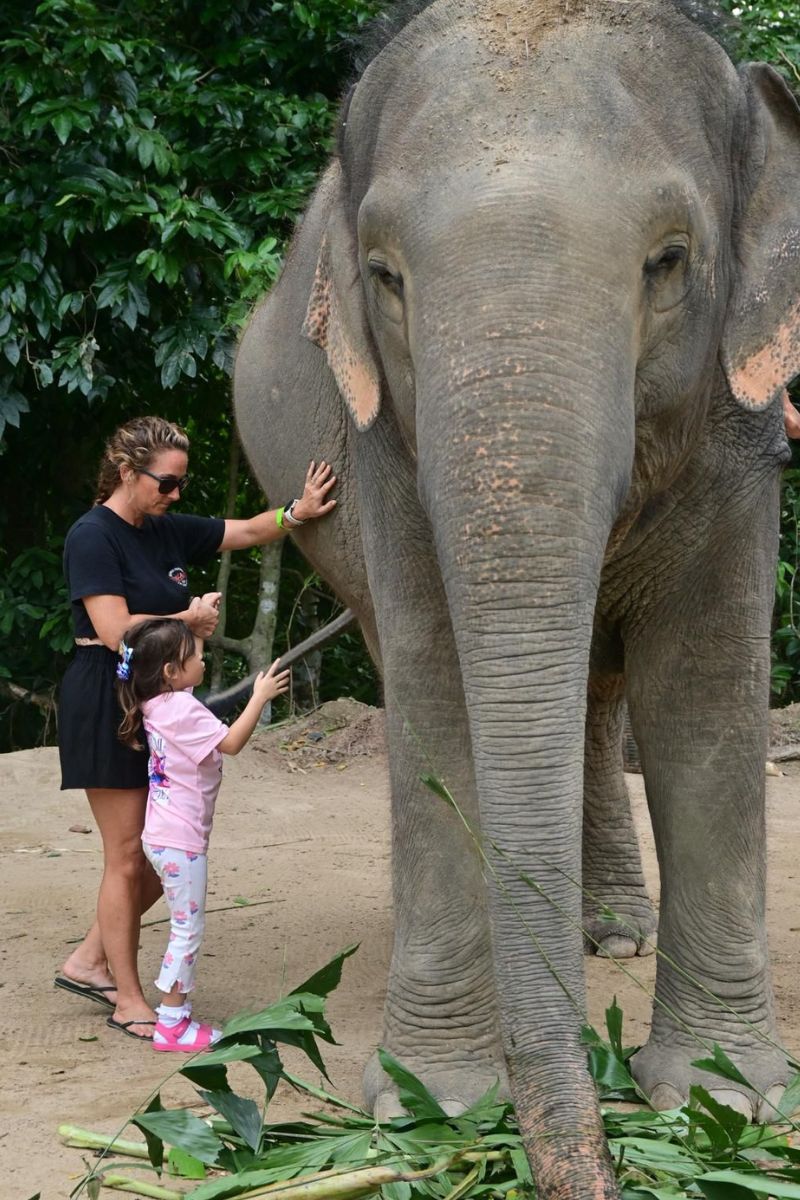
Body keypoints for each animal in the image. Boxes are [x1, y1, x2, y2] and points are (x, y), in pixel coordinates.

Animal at [233, 2, 800, 1197]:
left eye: (669, 261)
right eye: (382, 274)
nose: (592, 1155)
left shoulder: (743, 429)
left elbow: (702, 703)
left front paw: (726, 1099)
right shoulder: (382, 450)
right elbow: (438, 697)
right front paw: (432, 1102)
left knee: (600, 691)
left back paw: (612, 936)